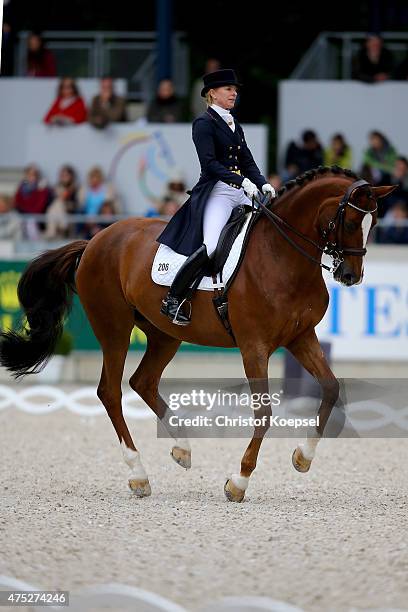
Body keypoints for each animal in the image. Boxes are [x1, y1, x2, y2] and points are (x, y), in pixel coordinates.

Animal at [0, 165, 396, 500]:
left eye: (374, 222)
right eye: (350, 220)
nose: (350, 275)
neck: (282, 256)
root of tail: (94, 240)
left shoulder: (300, 338)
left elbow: (330, 388)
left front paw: (303, 457)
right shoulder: (254, 346)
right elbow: (264, 412)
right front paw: (238, 481)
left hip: (164, 334)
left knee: (143, 382)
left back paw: (182, 449)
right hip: (114, 327)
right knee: (110, 391)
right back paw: (138, 474)